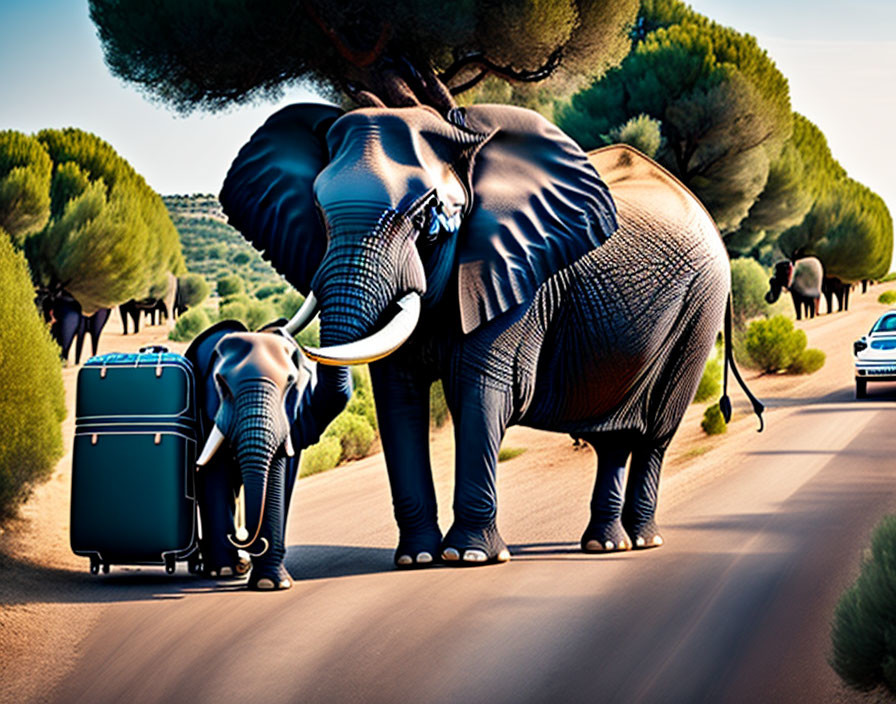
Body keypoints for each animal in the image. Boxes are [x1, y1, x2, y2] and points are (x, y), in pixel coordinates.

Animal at [186, 320, 350, 588]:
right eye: (221, 382)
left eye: (291, 382)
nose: (245, 538)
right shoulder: (205, 408)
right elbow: (215, 472)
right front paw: (224, 572)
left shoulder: (292, 416)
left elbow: (277, 474)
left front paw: (270, 584)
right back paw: (228, 568)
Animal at [220, 103, 760, 568]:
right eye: (318, 210)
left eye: (426, 217)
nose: (275, 336)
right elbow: (398, 397)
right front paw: (417, 559)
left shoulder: (517, 274)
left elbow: (479, 392)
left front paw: (469, 557)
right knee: (612, 439)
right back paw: (605, 544)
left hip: (700, 309)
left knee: (654, 433)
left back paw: (642, 541)